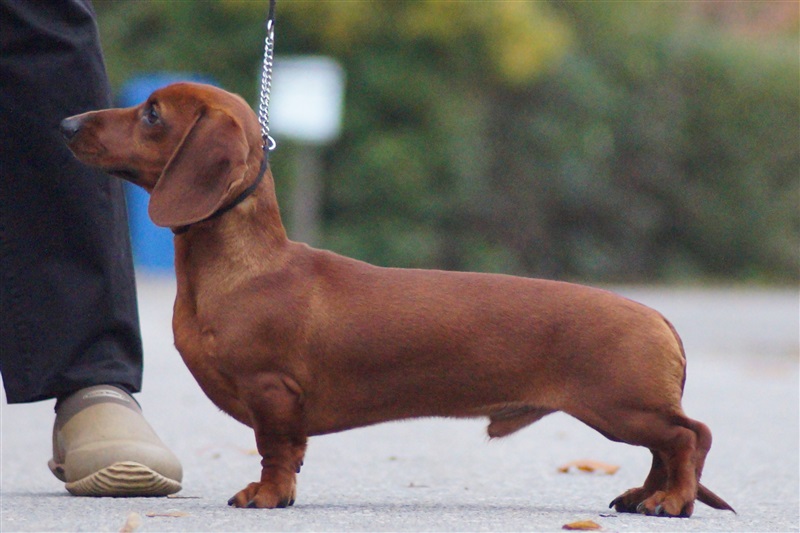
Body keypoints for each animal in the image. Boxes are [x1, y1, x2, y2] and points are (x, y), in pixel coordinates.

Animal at [60, 82, 734, 517]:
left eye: (152, 113)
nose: (66, 125)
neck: (242, 269)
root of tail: (658, 316)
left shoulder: (273, 392)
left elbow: (275, 452)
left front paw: (268, 496)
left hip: (622, 407)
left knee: (689, 438)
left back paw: (671, 501)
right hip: (630, 411)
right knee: (667, 446)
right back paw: (645, 496)